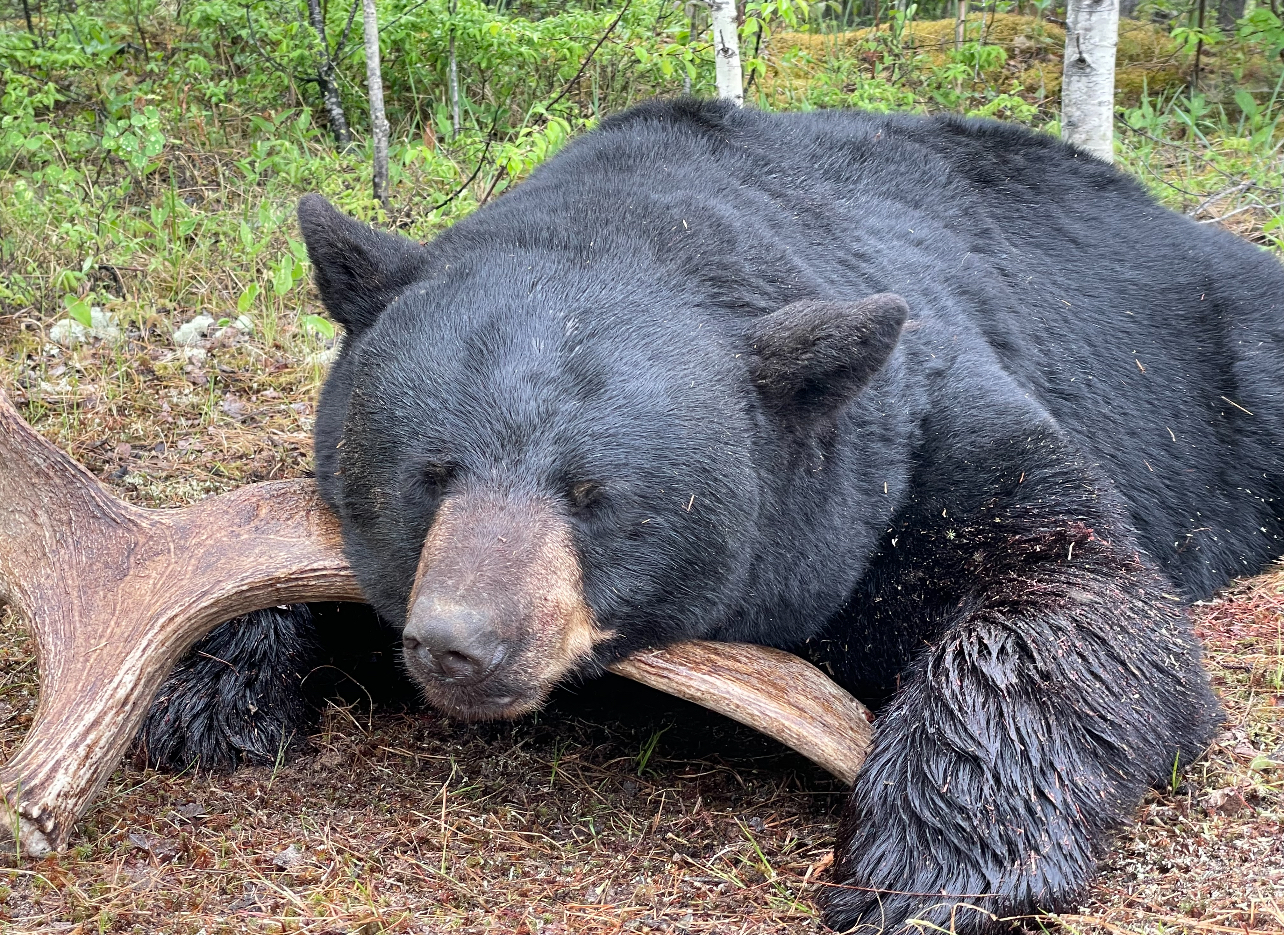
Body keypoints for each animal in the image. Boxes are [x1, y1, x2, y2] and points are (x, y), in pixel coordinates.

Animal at [140, 98, 1284, 929]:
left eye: (597, 495)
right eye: (431, 471)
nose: (461, 642)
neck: (659, 219)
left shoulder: (923, 423)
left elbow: (1080, 592)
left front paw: (925, 861)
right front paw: (204, 687)